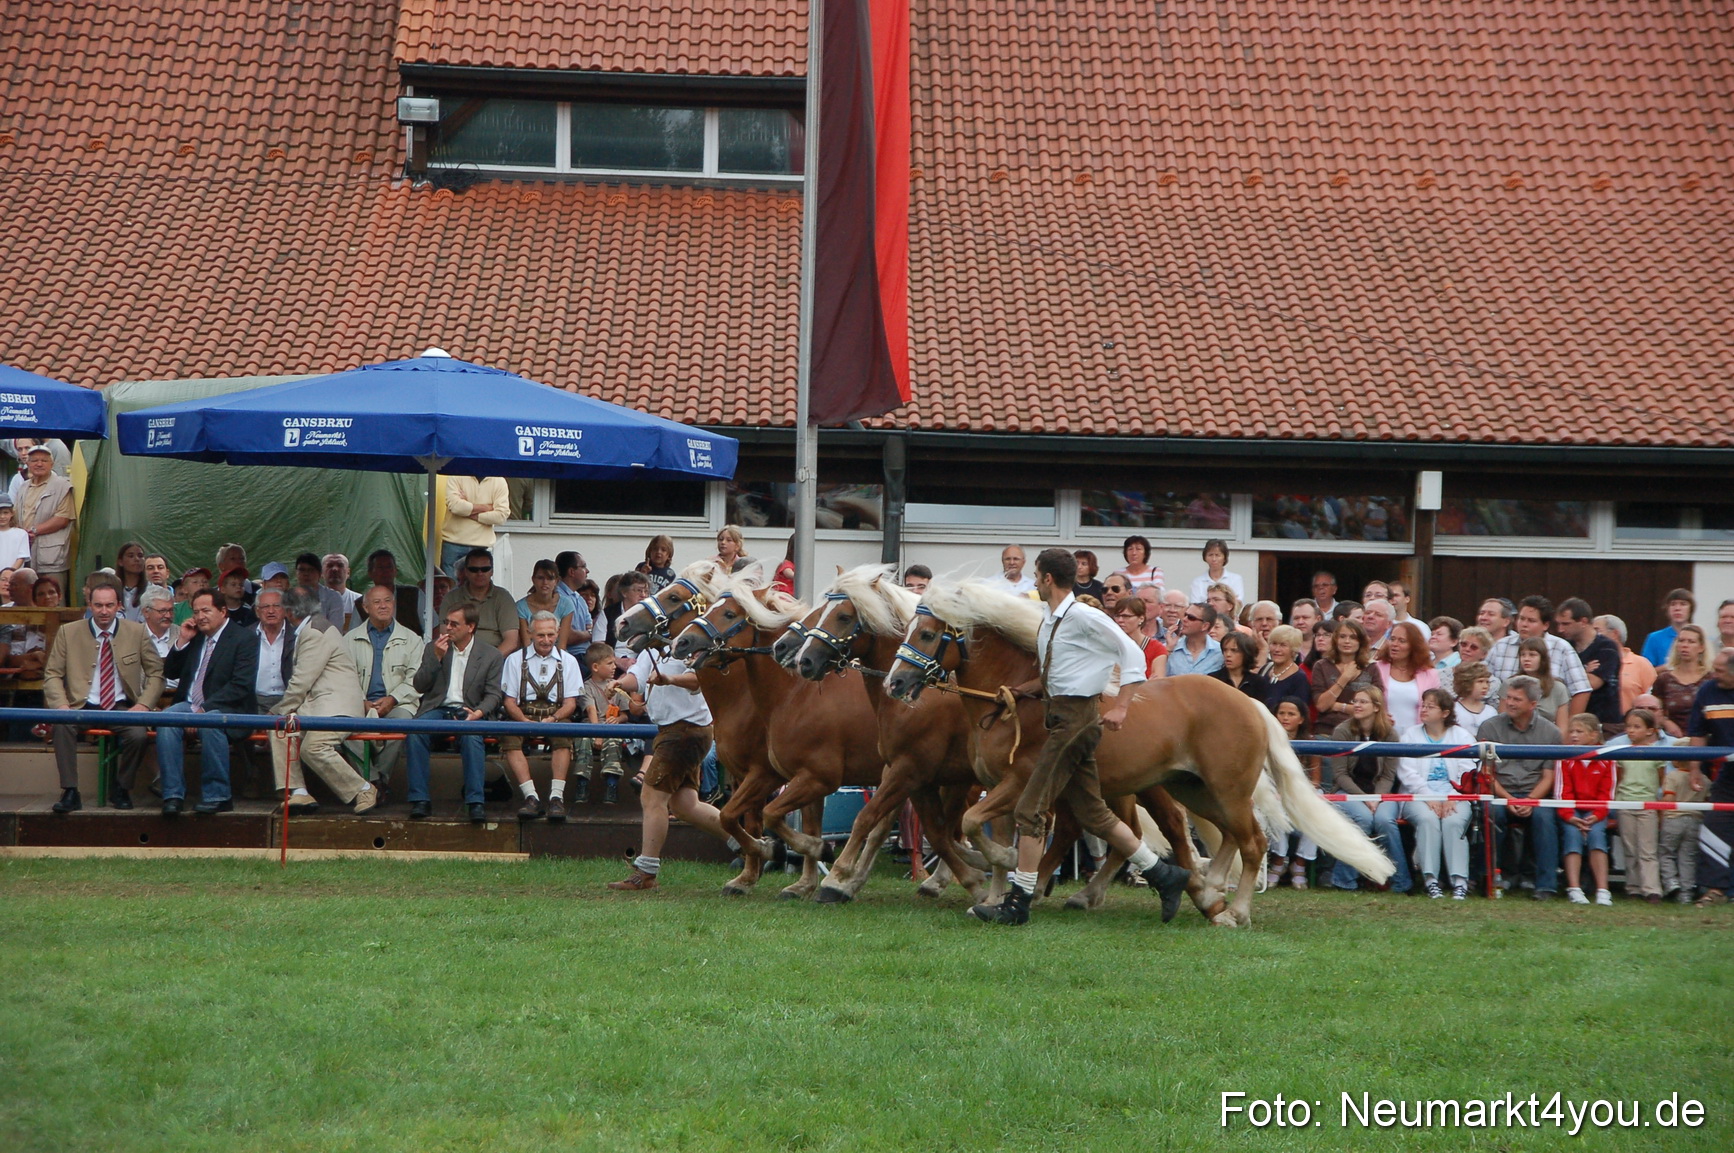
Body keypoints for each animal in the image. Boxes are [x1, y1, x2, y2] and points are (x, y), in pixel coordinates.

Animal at [669, 572, 888, 899]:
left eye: (730, 613)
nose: (682, 641)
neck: (795, 694)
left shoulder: (784, 775)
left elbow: (755, 816)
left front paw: (781, 853)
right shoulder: (772, 776)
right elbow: (741, 817)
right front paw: (775, 874)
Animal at [882, 581, 1395, 927]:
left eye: (926, 635)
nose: (895, 683)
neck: (1010, 703)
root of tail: (1248, 703)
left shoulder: (1021, 782)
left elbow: (974, 826)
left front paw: (998, 871)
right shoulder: (997, 787)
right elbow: (991, 832)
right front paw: (992, 895)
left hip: (1223, 787)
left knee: (1251, 841)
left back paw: (1234, 911)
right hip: (1192, 788)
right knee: (1222, 836)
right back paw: (1206, 891)